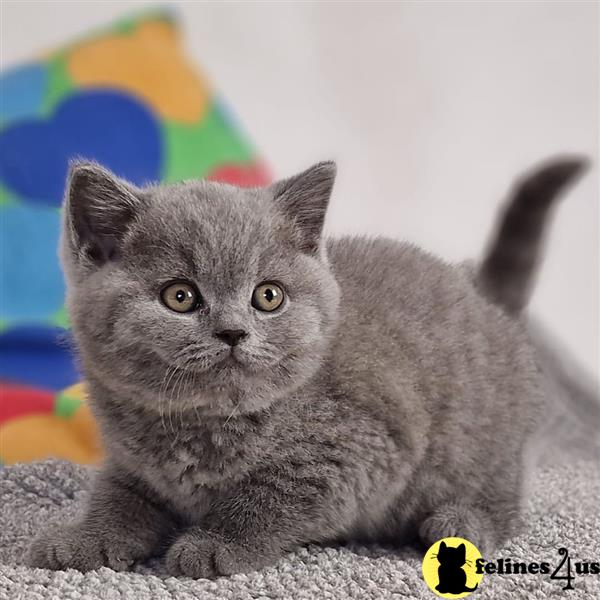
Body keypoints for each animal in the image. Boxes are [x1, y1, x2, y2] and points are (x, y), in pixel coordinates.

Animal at [27, 156, 592, 576]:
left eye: (268, 296)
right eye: (180, 297)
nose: (233, 332)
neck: (204, 422)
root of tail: (483, 296)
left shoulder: (359, 448)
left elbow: (271, 495)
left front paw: (217, 544)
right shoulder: (133, 463)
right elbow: (119, 498)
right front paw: (86, 538)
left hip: (478, 436)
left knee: (504, 496)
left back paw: (461, 522)